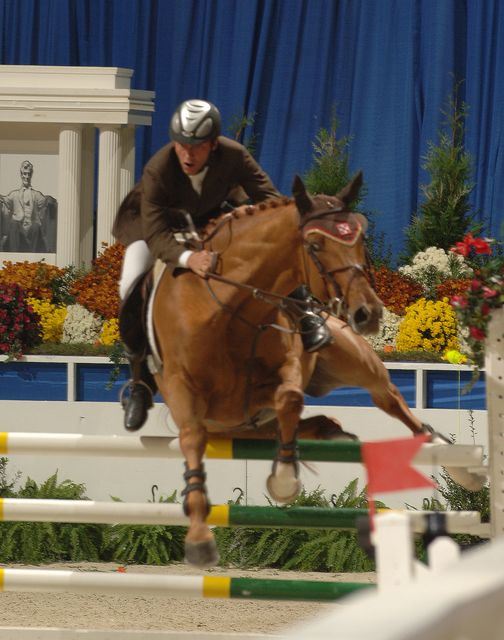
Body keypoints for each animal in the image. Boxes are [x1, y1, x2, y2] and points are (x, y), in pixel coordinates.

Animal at [149, 172, 476, 568]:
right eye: (315, 244)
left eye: (360, 238)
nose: (367, 312)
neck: (225, 308)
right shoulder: (185, 391)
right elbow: (193, 437)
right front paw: (199, 538)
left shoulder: (285, 365)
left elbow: (289, 396)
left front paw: (284, 479)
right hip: (236, 425)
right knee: (307, 423)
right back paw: (331, 433)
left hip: (356, 362)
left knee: (390, 399)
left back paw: (453, 461)